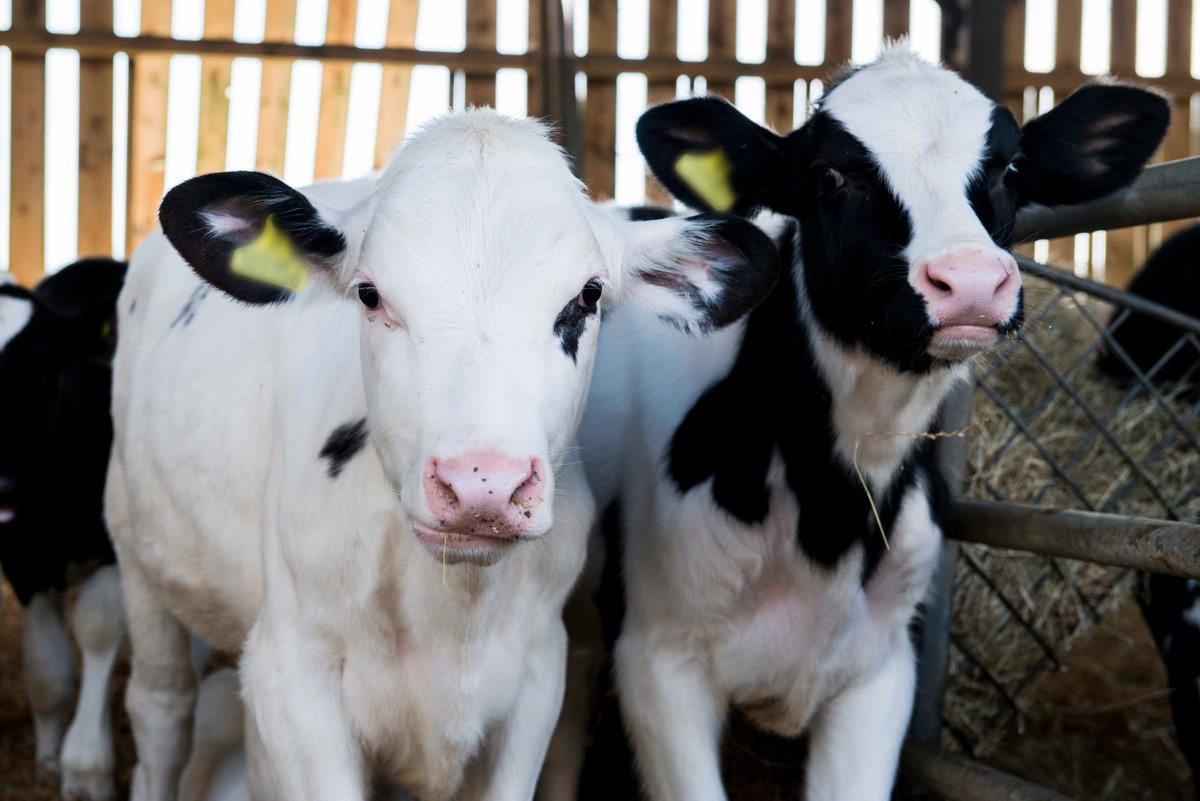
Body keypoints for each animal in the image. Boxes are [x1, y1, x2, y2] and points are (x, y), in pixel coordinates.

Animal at [105, 109, 779, 801]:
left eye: (588, 296)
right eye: (369, 294)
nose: (483, 485)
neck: (450, 612)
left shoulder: (538, 674)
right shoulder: (291, 673)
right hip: (133, 544)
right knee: (160, 706)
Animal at [565, 44, 1169, 800]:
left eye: (1009, 169)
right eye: (830, 175)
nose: (972, 282)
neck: (833, 517)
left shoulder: (881, 670)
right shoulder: (657, 660)